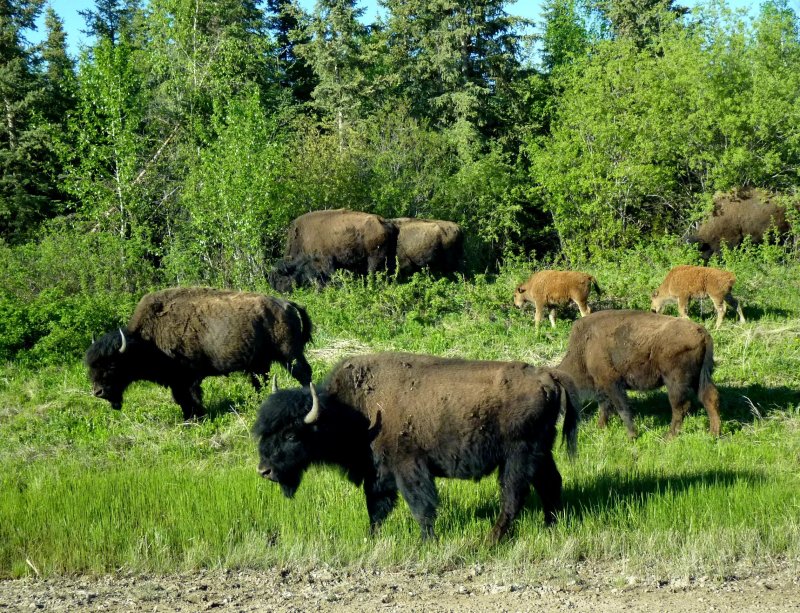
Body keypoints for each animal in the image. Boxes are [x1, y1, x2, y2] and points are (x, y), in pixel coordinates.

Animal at [85, 286, 312, 418]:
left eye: (112, 365)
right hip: (260, 362)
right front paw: (189, 417)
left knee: (303, 373)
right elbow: (182, 399)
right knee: (261, 380)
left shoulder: (187, 378)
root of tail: (287, 304)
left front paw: (195, 417)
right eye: (91, 367)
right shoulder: (177, 381)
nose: (98, 392)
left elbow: (190, 397)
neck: (146, 340)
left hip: (289, 354)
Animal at [253, 352, 580, 544]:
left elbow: (420, 506)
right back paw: (550, 527)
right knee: (551, 483)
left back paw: (491, 540)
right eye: (263, 431)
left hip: (518, 455)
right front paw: (371, 538)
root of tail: (549, 378)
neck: (354, 410)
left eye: (291, 435)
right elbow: (376, 508)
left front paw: (426, 542)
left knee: (514, 495)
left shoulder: (408, 468)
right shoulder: (377, 473)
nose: (264, 470)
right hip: (541, 452)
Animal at [270, 208, 398, 292]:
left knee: (372, 272)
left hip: (374, 258)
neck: (302, 237)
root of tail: (384, 222)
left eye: (280, 280)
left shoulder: (326, 263)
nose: (281, 292)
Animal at [556, 308, 724, 438]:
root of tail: (702, 333)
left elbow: (622, 408)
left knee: (680, 406)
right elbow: (604, 408)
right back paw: (714, 434)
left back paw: (669, 436)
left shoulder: (612, 384)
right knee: (710, 397)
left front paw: (632, 436)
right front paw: (601, 427)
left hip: (675, 381)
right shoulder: (603, 386)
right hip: (699, 378)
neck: (584, 349)